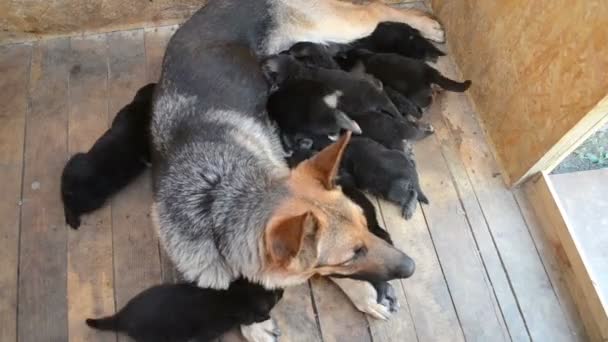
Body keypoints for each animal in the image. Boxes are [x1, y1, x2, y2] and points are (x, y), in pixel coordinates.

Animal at [150, 1, 444, 340]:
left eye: (364, 226)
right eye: (353, 254)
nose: (411, 268)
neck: (218, 197)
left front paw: (364, 295)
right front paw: (253, 324)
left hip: (337, 25)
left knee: (374, 10)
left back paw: (427, 23)